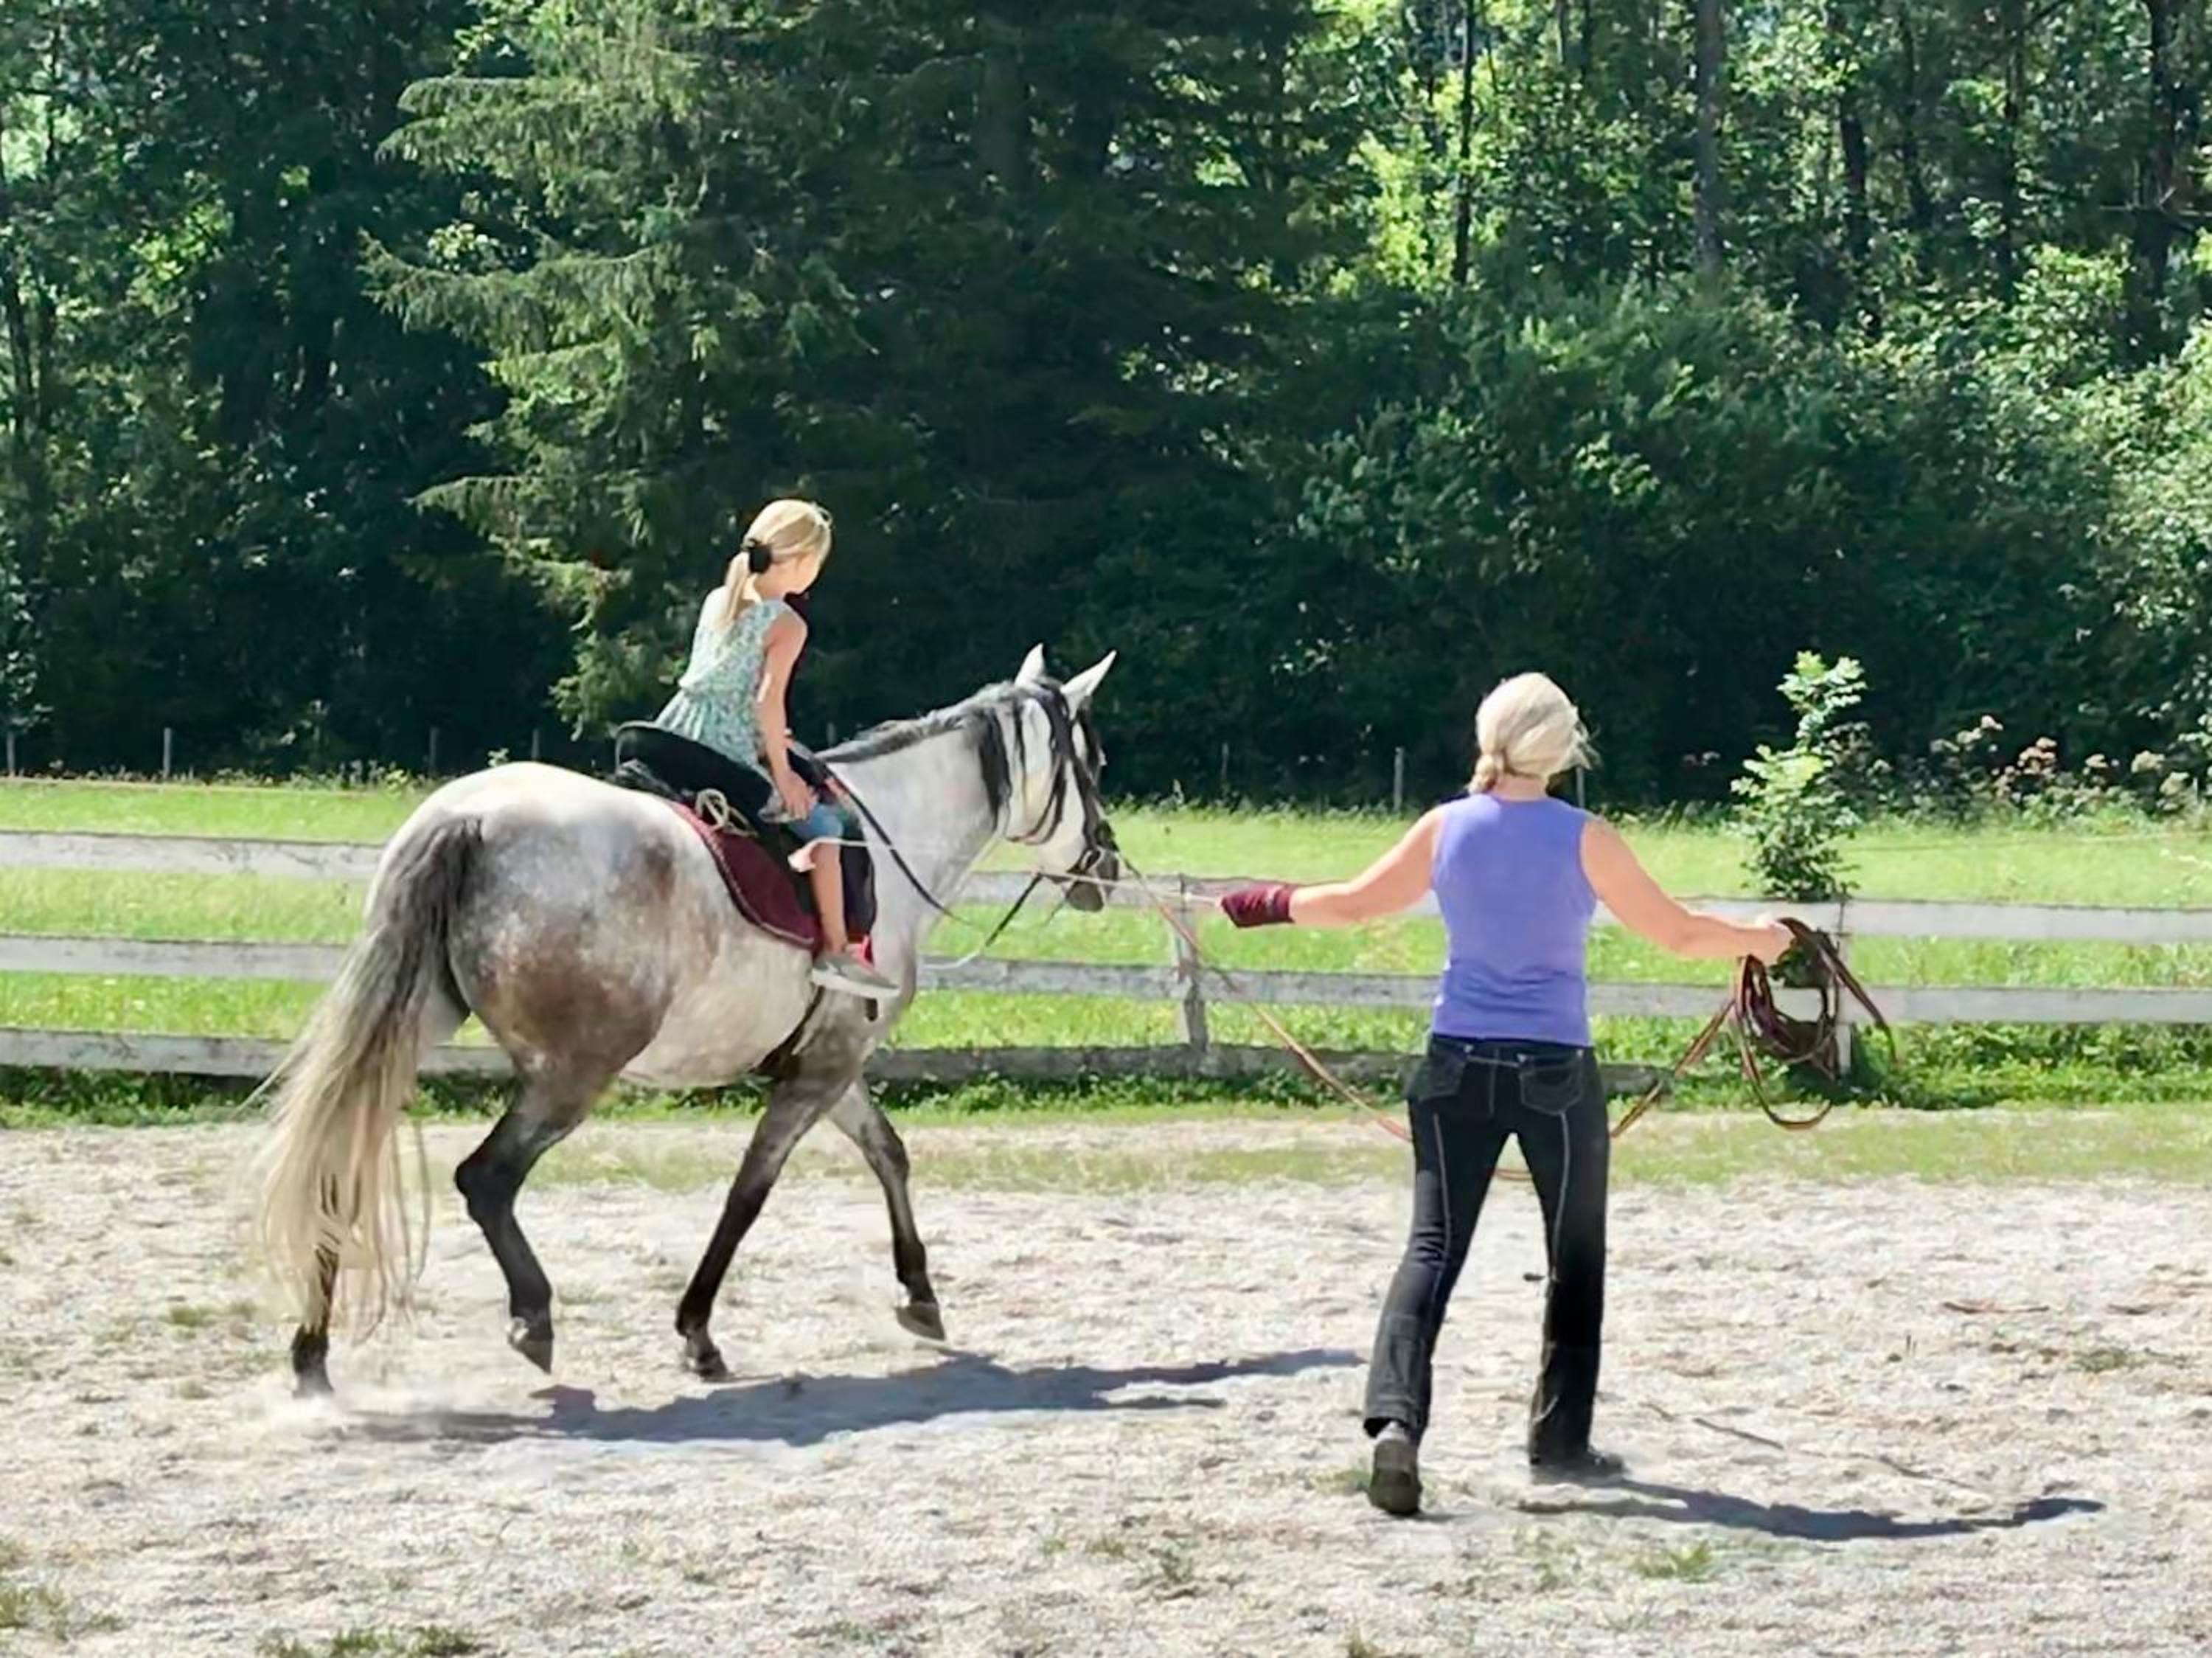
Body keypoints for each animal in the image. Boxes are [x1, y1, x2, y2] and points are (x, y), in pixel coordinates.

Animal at [255, 647, 1120, 1394]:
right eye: (1095, 764)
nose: (1106, 865)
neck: (885, 841)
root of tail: (470, 820)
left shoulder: (831, 1063)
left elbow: (888, 1154)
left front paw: (920, 1295)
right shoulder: (820, 1072)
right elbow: (750, 1193)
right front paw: (697, 1331)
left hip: (411, 1028)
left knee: (339, 1165)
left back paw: (312, 1353)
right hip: (571, 1075)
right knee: (486, 1180)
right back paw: (532, 1318)